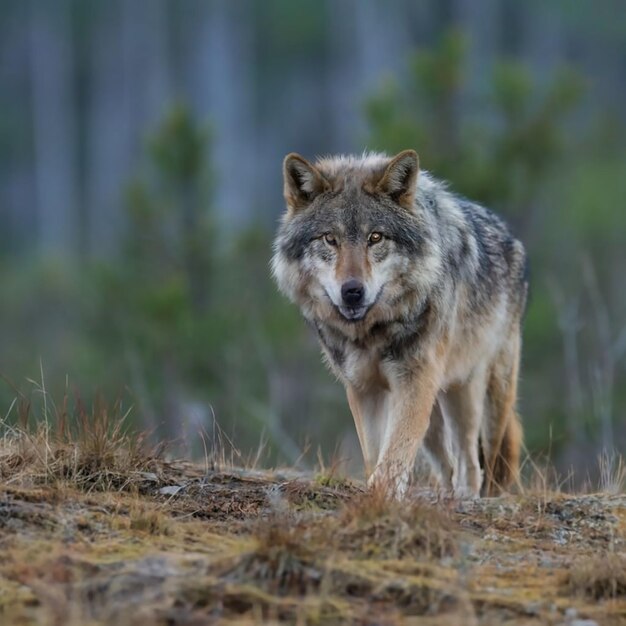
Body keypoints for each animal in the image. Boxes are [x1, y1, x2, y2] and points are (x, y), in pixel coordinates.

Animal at [270, 149, 524, 494]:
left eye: (375, 237)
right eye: (330, 239)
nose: (352, 292)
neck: (373, 333)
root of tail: (513, 240)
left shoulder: (415, 380)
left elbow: (394, 455)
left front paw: (382, 497)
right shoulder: (363, 388)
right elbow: (376, 455)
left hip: (477, 398)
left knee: (472, 464)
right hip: (436, 418)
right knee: (448, 465)